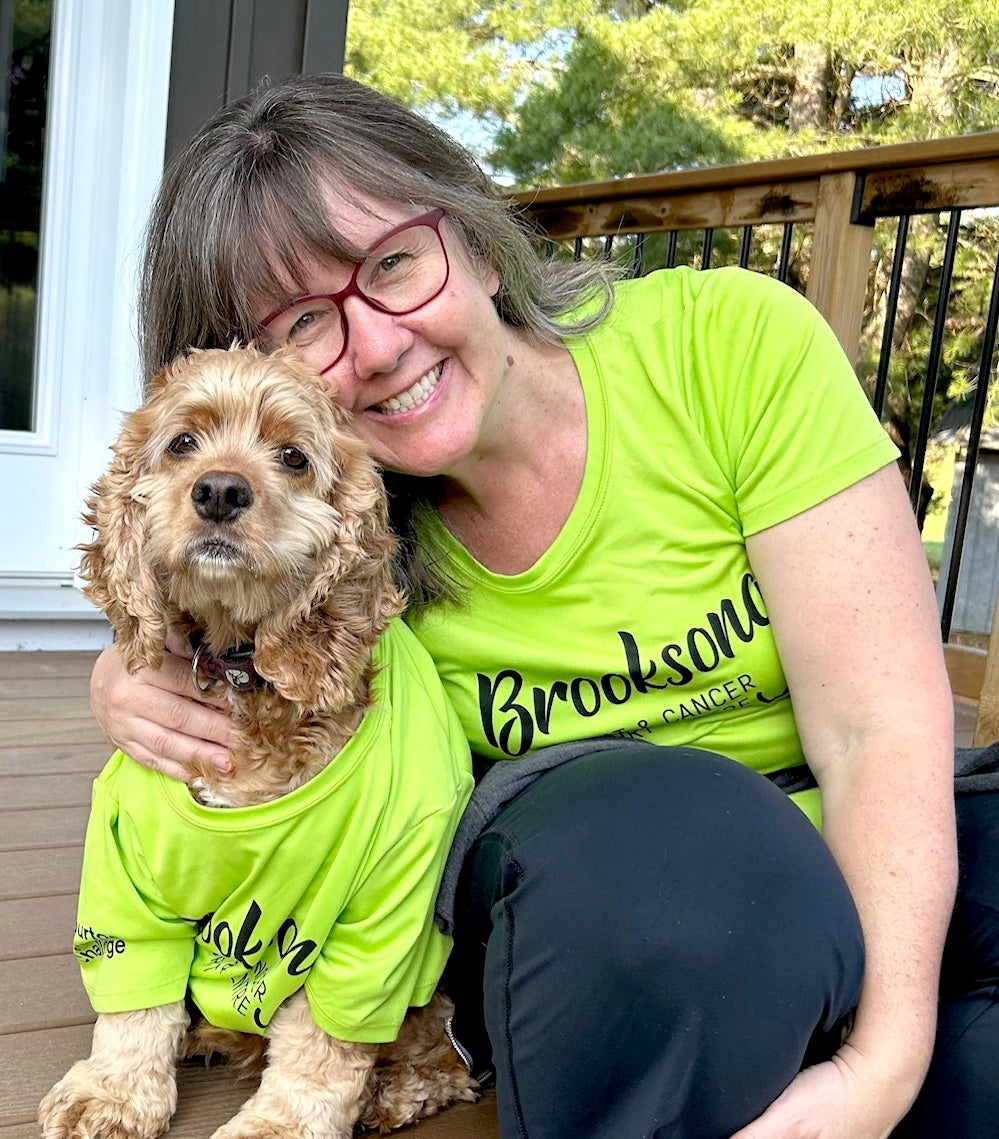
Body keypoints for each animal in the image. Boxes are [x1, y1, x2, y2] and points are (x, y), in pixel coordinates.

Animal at [39, 346, 476, 1139]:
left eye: (294, 457)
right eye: (182, 443)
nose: (218, 490)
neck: (243, 674)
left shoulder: (379, 907)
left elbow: (325, 1042)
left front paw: (281, 1123)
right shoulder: (124, 858)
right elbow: (133, 1000)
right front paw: (113, 1092)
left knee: (438, 1048)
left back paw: (397, 1090)